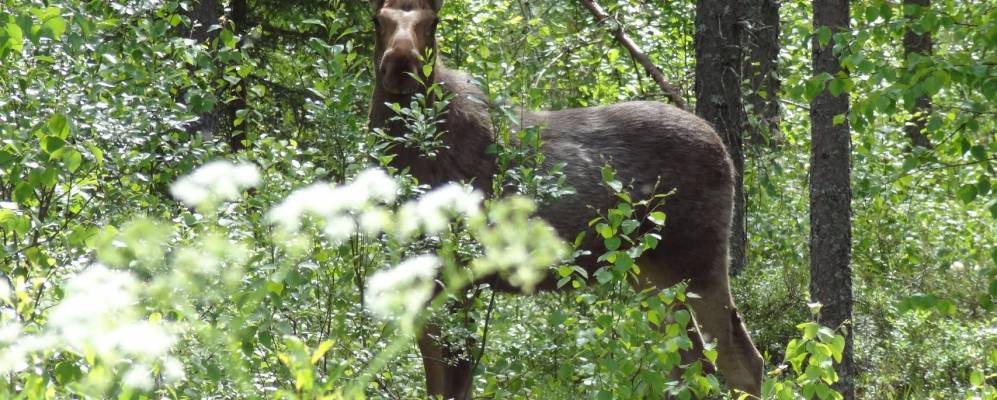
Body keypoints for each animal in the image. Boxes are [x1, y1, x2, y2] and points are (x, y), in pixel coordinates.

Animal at [366, 0, 764, 396]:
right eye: (377, 20)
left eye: (433, 22)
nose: (400, 65)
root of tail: (725, 151)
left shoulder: (458, 273)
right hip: (651, 271)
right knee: (689, 362)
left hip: (698, 258)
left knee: (742, 360)